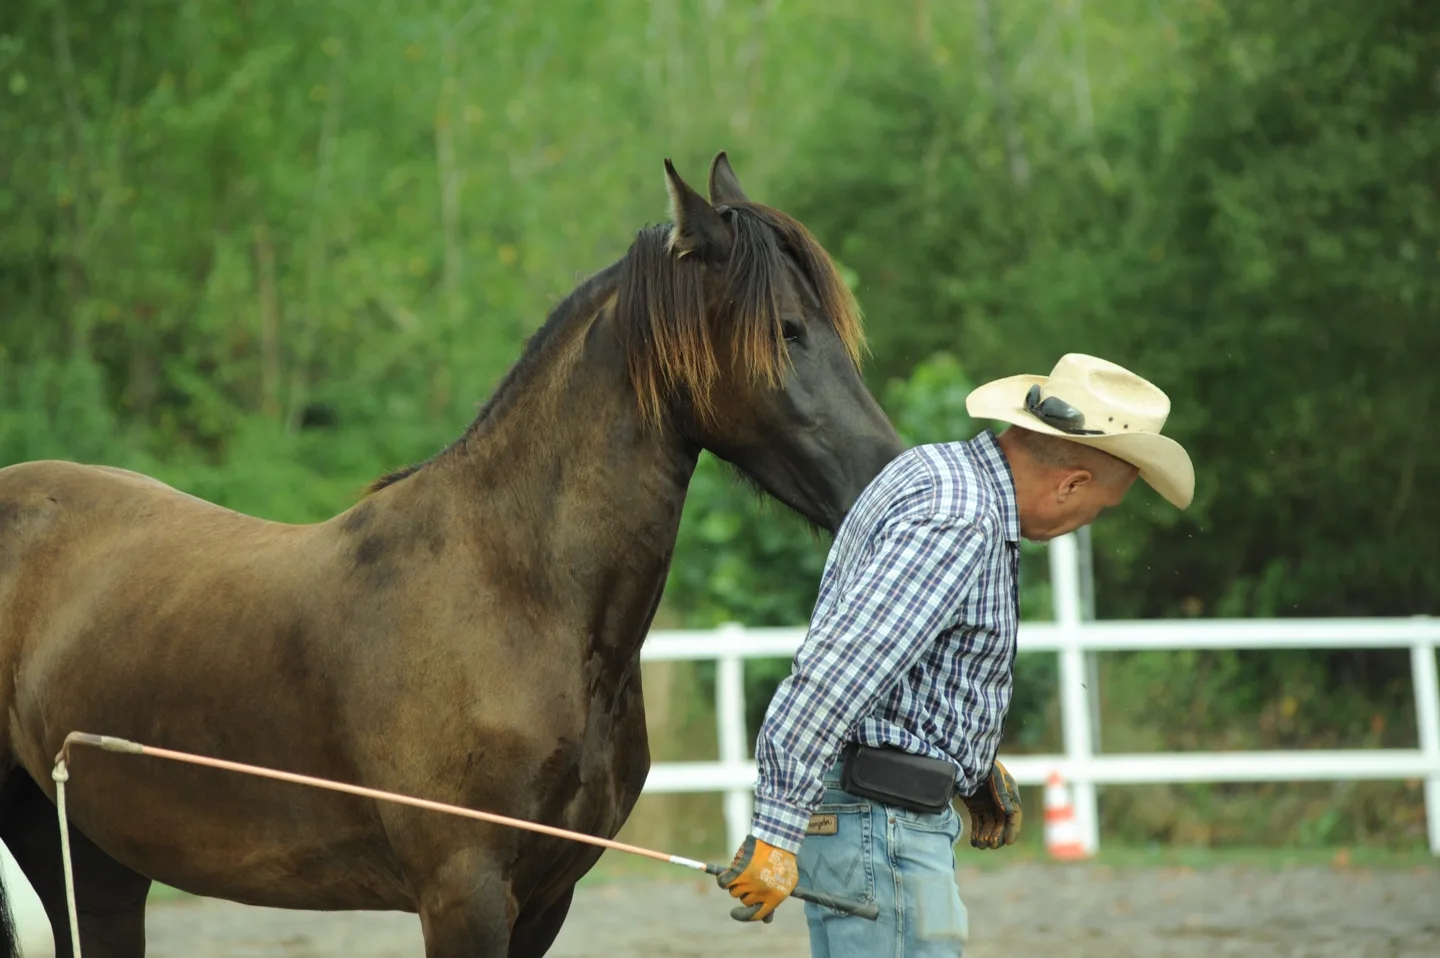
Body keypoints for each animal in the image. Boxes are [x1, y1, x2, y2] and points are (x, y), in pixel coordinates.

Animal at [0, 152, 905, 957]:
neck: (517, 592)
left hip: (92, 856)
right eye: (786, 330)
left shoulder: (545, 899)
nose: (884, 474)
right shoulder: (462, 892)